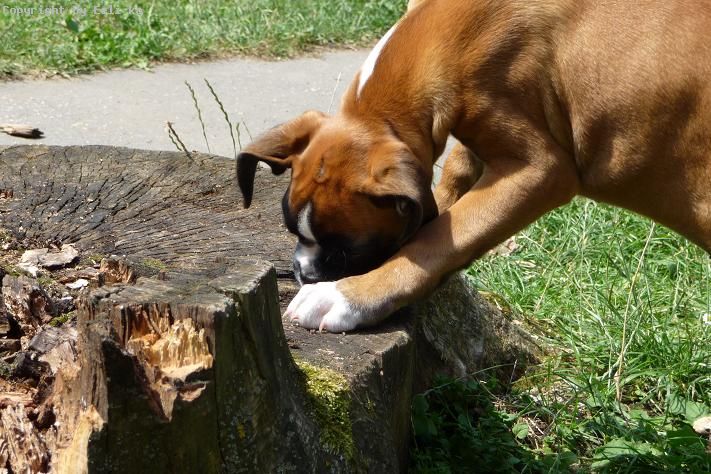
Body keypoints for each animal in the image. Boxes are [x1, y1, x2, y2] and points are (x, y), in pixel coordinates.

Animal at [237, 0, 711, 332]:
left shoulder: (538, 170)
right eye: (292, 230)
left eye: (346, 250)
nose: (303, 274)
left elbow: (438, 242)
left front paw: (344, 296)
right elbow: (445, 190)